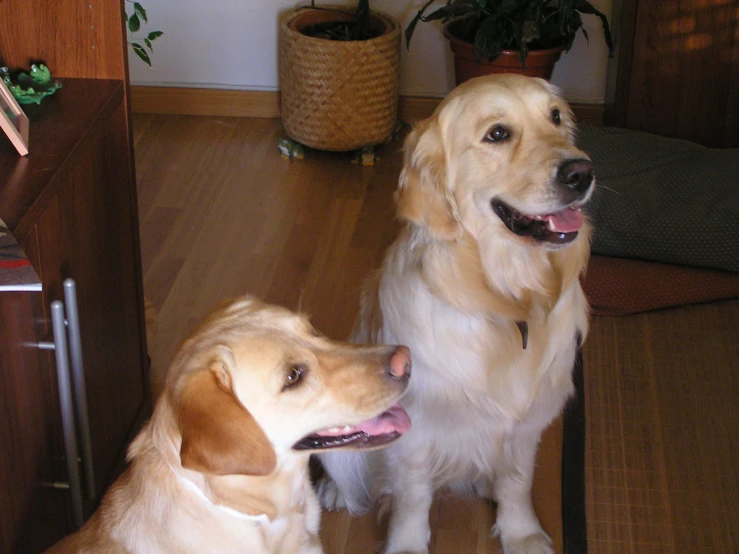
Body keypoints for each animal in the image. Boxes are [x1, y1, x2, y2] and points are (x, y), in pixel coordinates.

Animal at [318, 74, 596, 552]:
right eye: (498, 134)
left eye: (556, 117)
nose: (582, 173)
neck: (507, 299)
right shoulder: (415, 427)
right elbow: (413, 496)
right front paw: (407, 544)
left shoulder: (527, 423)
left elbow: (516, 482)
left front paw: (522, 533)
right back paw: (336, 491)